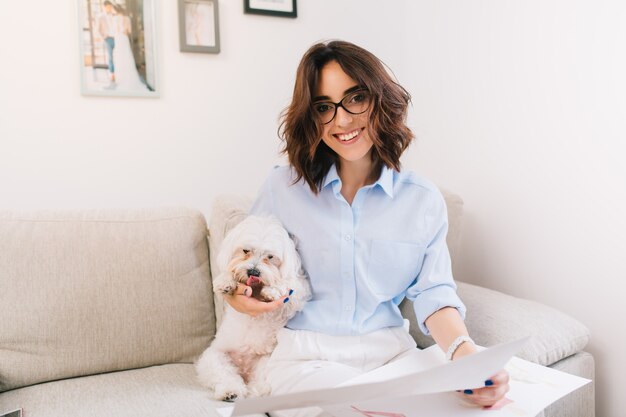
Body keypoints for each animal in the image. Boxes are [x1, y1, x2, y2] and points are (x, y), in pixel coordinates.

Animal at [195, 214, 310, 400]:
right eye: (245, 251)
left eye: (270, 257)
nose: (253, 272)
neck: (256, 290)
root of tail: (244, 369)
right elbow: (229, 272)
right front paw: (225, 281)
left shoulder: (296, 297)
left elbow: (290, 284)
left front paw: (273, 290)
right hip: (214, 358)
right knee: (226, 375)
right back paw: (230, 391)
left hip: (266, 362)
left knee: (260, 386)